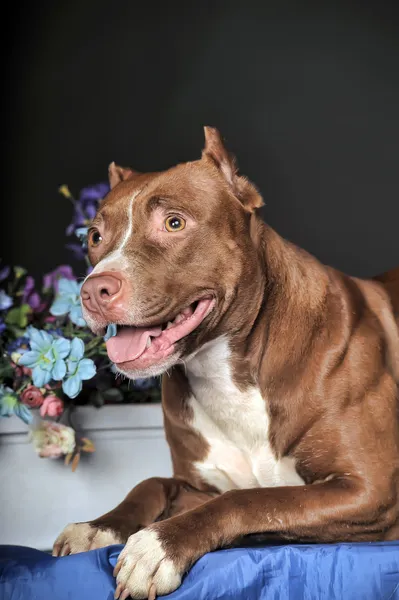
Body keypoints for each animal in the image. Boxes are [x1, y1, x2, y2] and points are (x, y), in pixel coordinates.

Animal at [53, 127, 399, 600]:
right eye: (93, 237)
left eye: (174, 223)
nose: (93, 290)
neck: (227, 372)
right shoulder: (199, 485)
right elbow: (153, 483)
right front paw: (98, 527)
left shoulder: (368, 491)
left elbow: (252, 499)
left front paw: (158, 546)